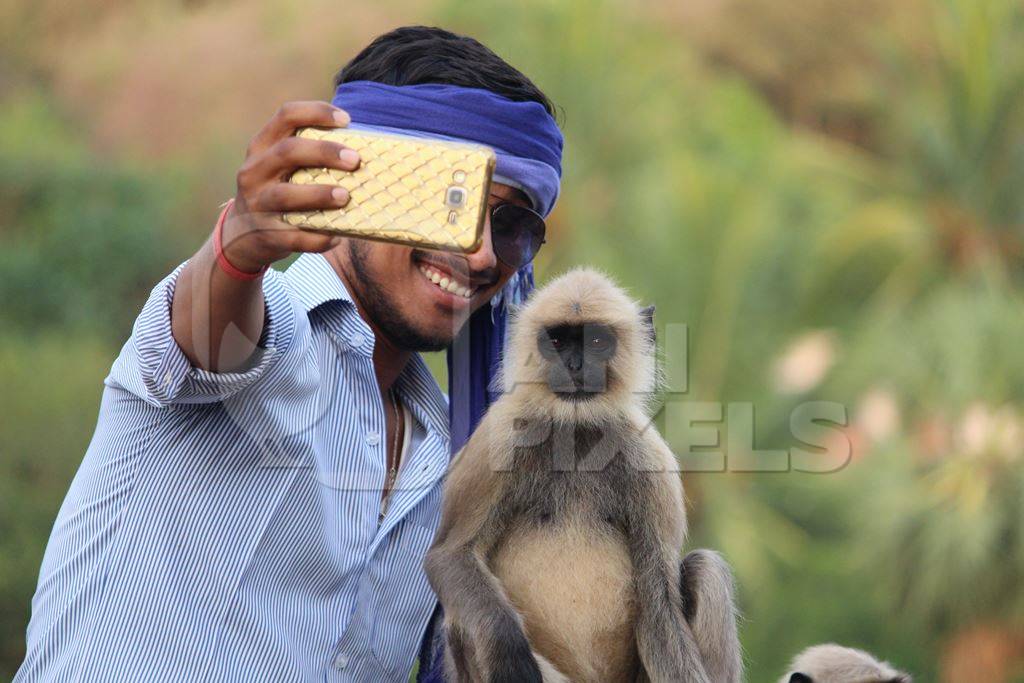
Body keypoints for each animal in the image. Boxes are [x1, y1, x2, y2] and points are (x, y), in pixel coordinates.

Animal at [419, 270, 741, 679]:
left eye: (597, 341)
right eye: (557, 341)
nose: (574, 366)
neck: (574, 430)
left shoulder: (651, 462)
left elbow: (660, 608)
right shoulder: (499, 438)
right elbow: (450, 556)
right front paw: (508, 649)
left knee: (705, 567)